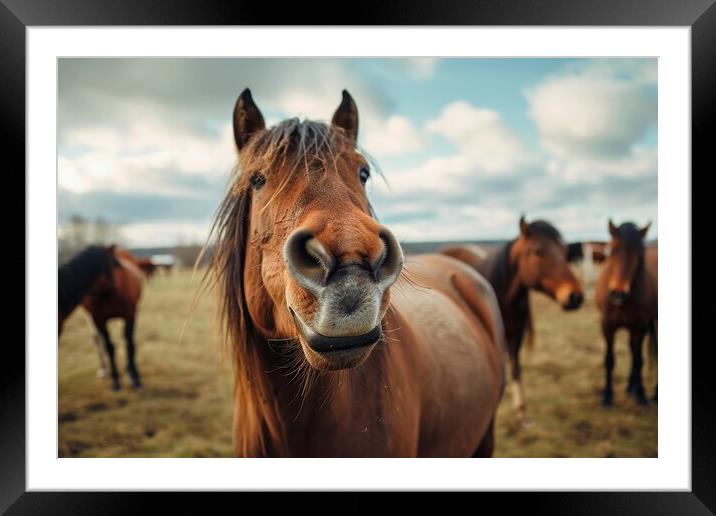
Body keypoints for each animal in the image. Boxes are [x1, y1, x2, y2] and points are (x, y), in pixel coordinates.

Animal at [58, 244, 145, 390]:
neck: (110, 292)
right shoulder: (99, 320)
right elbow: (109, 347)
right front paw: (116, 381)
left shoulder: (130, 316)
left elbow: (129, 344)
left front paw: (134, 377)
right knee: (98, 340)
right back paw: (104, 370)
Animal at [440, 217, 584, 424]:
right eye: (538, 251)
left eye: (565, 252)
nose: (575, 297)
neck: (504, 293)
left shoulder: (517, 334)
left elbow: (516, 369)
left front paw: (522, 411)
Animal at [596, 220, 656, 406]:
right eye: (612, 250)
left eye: (638, 254)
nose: (618, 293)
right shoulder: (607, 326)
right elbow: (609, 360)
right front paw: (607, 396)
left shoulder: (639, 327)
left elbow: (638, 360)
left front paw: (641, 394)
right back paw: (631, 387)